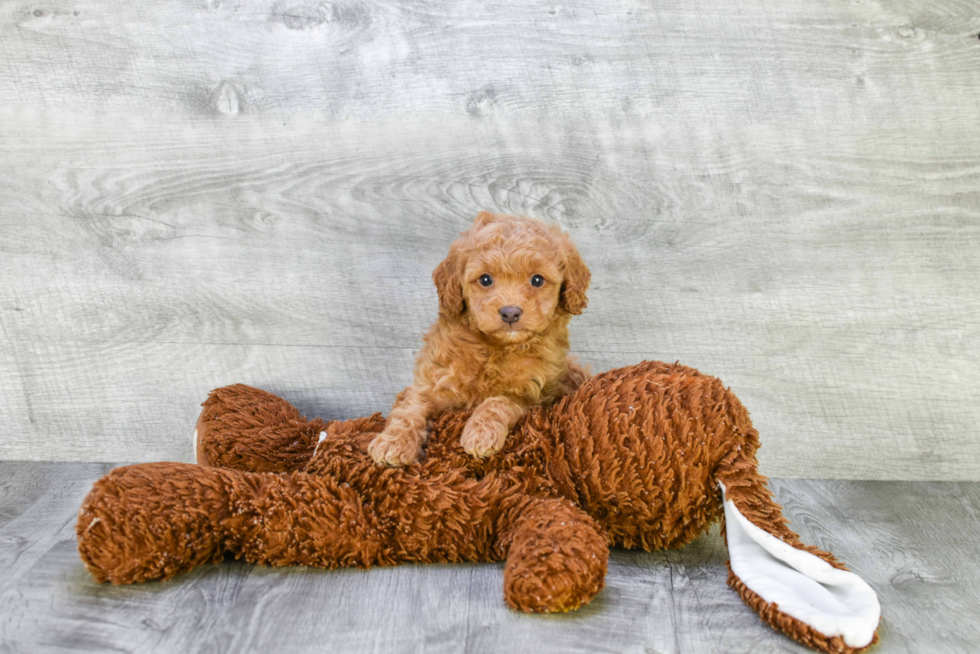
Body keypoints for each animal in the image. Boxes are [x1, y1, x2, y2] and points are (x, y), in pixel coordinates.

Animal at [368, 211, 588, 466]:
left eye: (537, 280)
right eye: (485, 280)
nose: (510, 312)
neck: (496, 347)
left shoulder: (533, 394)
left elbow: (498, 402)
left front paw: (481, 434)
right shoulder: (432, 380)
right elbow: (410, 409)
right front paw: (392, 443)